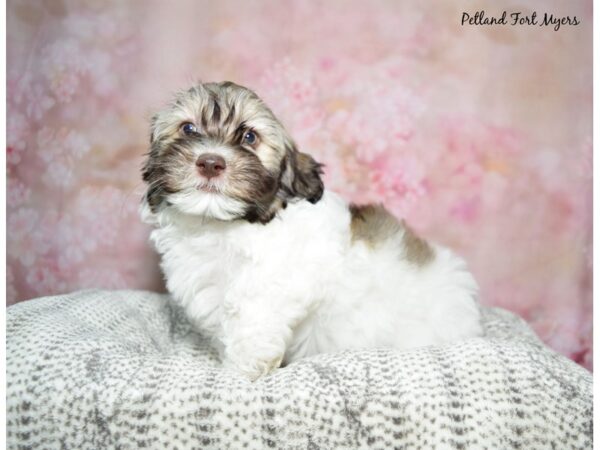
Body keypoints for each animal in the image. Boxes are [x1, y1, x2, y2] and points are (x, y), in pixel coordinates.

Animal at [141, 80, 482, 380]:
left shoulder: (270, 283)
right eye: (188, 128)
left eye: (250, 137)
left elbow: (251, 320)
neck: (221, 226)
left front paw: (237, 373)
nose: (211, 163)